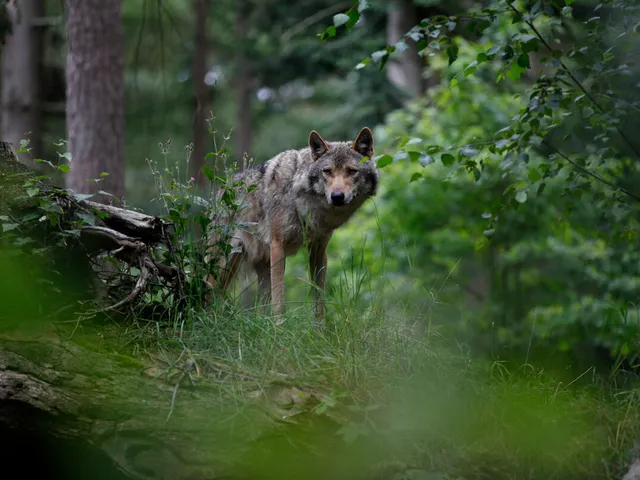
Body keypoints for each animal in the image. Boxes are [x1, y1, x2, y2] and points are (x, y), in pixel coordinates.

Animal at [204, 127, 379, 324]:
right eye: (327, 171)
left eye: (352, 171)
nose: (337, 196)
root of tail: (219, 191)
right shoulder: (277, 246)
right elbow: (280, 301)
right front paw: (279, 326)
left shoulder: (318, 250)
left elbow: (318, 298)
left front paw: (320, 328)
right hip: (221, 266)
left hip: (256, 269)